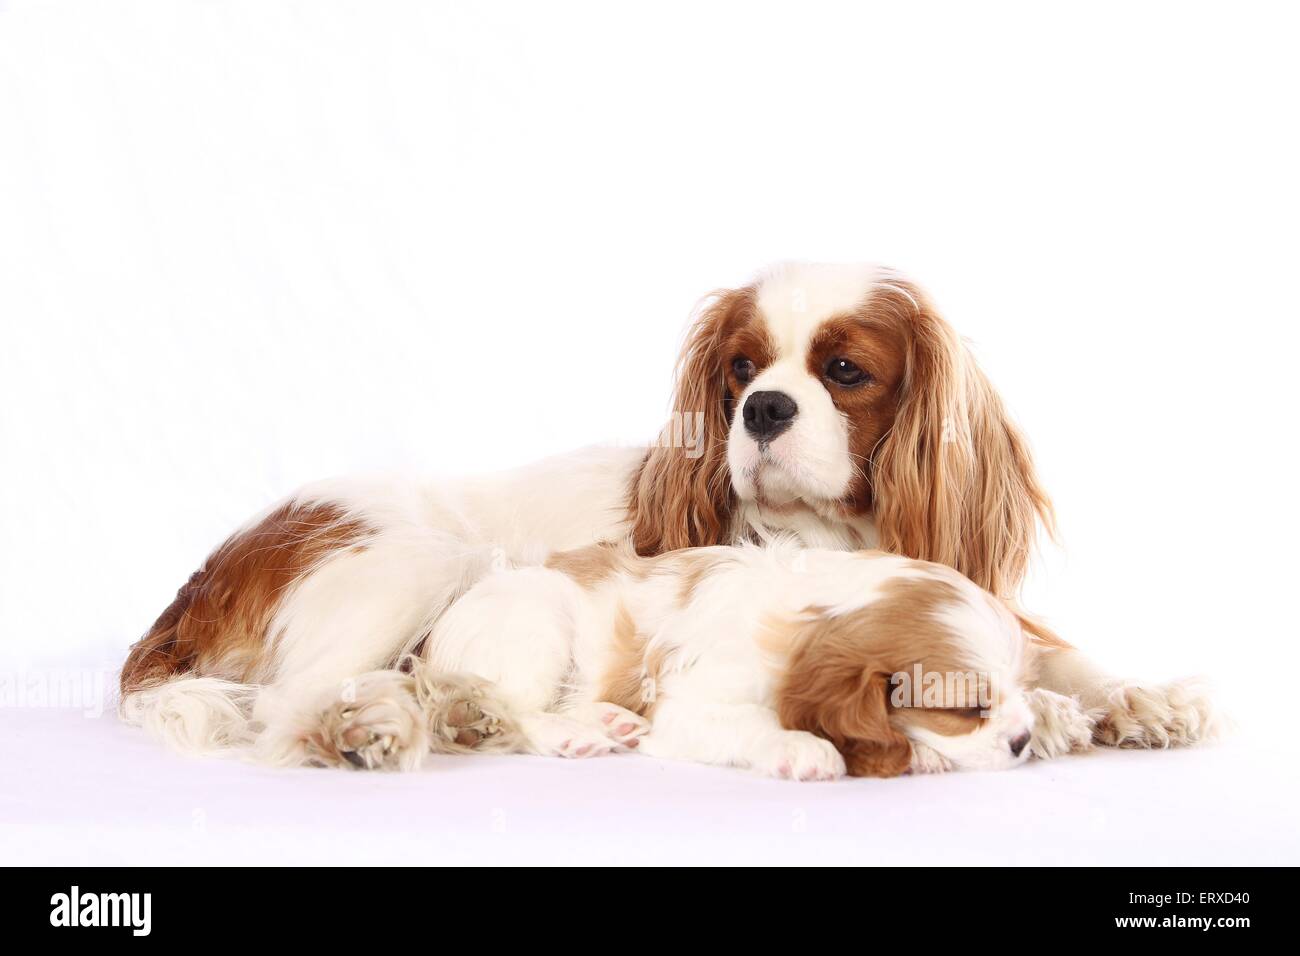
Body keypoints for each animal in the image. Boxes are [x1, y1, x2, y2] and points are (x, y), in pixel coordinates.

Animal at [266, 541, 1128, 780]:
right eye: (966, 710)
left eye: (1014, 692)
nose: (1019, 740)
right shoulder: (691, 709)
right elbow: (758, 728)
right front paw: (803, 749)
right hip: (535, 627)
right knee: (504, 711)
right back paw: (578, 732)